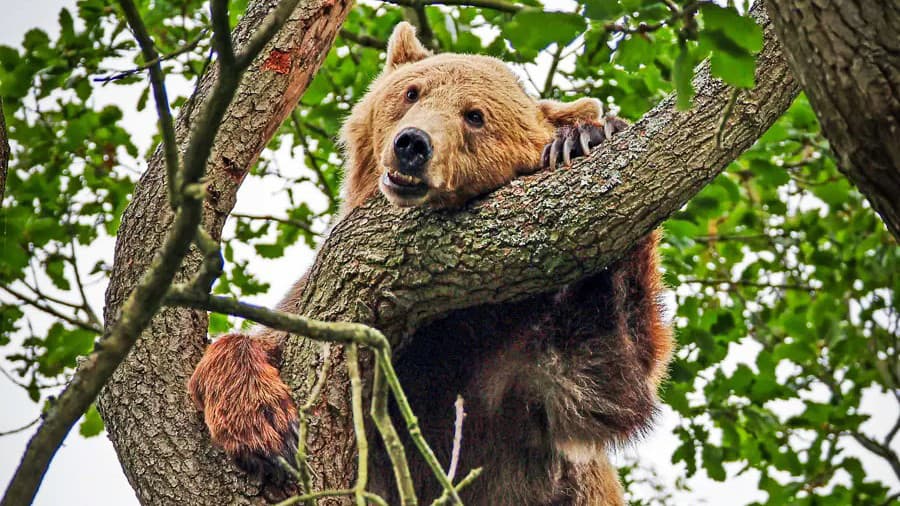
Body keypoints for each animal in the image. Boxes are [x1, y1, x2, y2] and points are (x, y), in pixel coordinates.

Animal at [186, 22, 672, 506]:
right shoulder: (319, 302)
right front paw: (264, 426)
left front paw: (587, 137)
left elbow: (603, 378)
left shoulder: (511, 362)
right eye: (412, 91)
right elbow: (263, 341)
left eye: (474, 115)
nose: (412, 144)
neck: (443, 320)